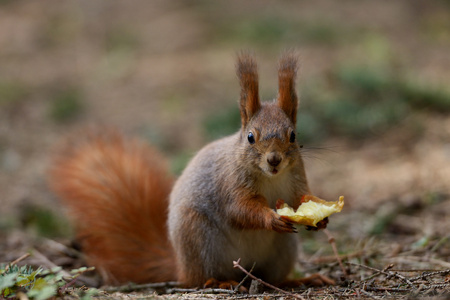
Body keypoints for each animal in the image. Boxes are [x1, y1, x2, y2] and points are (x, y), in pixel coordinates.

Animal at [49, 52, 330, 290]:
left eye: (293, 136)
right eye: (251, 137)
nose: (274, 160)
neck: (271, 177)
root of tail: (180, 267)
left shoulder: (296, 177)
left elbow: (302, 198)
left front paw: (321, 215)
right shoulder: (230, 183)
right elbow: (240, 209)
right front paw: (271, 219)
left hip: (281, 252)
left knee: (272, 279)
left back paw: (299, 280)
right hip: (199, 240)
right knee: (199, 280)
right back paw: (220, 282)